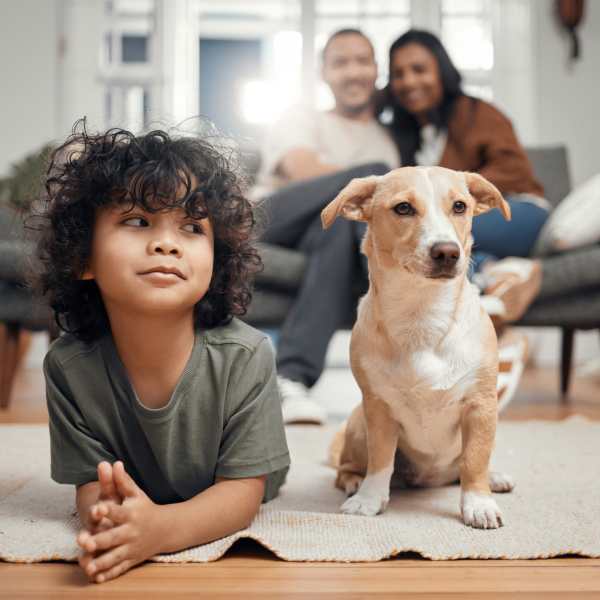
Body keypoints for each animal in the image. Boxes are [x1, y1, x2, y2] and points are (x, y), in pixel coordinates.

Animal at [324, 166, 516, 528]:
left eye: (460, 206)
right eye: (403, 208)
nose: (447, 252)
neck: (422, 315)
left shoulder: (481, 406)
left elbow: (475, 459)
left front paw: (478, 502)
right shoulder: (378, 408)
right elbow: (380, 460)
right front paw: (370, 499)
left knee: (468, 465)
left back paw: (494, 477)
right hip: (357, 425)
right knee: (346, 467)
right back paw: (355, 482)